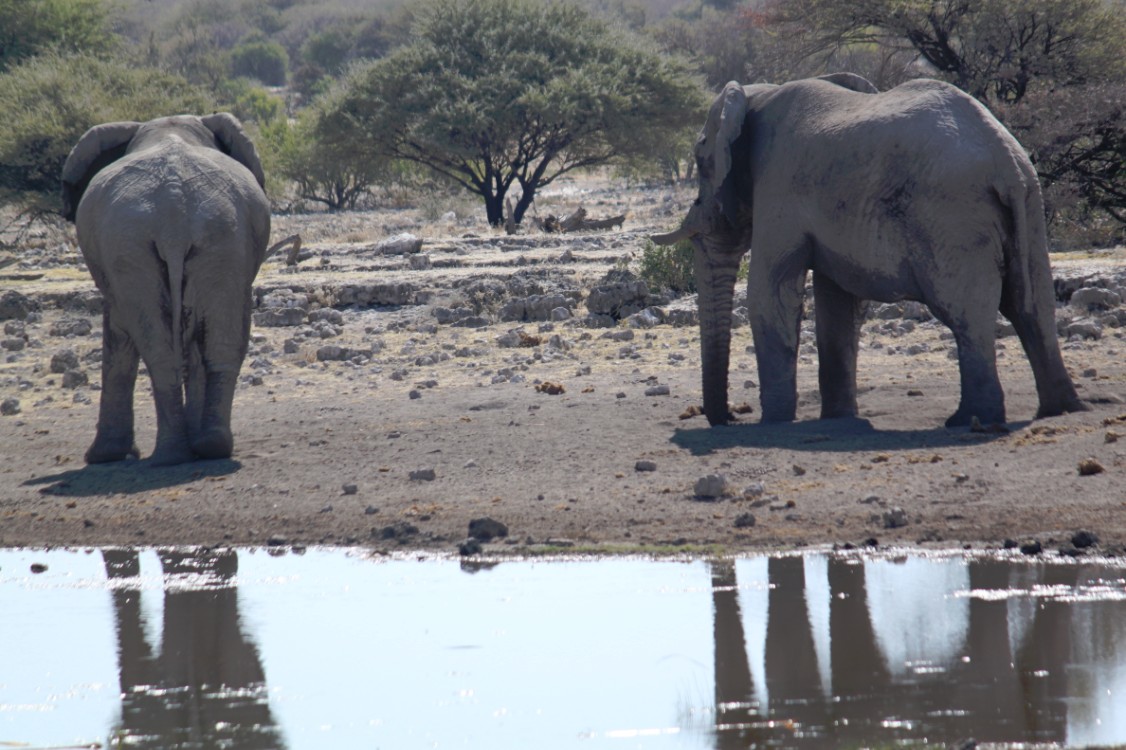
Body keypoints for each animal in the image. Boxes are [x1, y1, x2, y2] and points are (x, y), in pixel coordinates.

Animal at [62, 113, 271, 463]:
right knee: (217, 339)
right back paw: (207, 447)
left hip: (134, 244)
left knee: (160, 346)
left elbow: (117, 337)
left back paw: (174, 455)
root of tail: (174, 210)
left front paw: (103, 457)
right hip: (219, 235)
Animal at [657, 76, 1085, 430]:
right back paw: (1059, 409)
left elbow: (769, 292)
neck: (756, 94)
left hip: (953, 219)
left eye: (701, 160)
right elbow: (837, 304)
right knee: (1033, 308)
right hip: (1029, 204)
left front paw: (774, 423)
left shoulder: (779, 189)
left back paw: (971, 420)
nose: (731, 416)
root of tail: (1006, 159)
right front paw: (837, 419)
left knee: (967, 314)